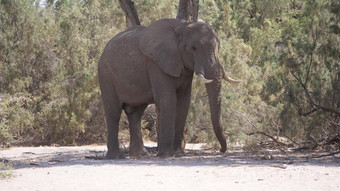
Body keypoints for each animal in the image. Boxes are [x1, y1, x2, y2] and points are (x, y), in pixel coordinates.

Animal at [98, 18, 240, 158]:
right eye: (193, 48)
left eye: (219, 47)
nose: (221, 150)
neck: (181, 26)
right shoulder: (155, 63)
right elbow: (168, 99)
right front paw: (166, 155)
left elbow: (184, 102)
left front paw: (178, 154)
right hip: (106, 74)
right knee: (114, 112)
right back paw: (115, 156)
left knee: (136, 114)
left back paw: (141, 155)